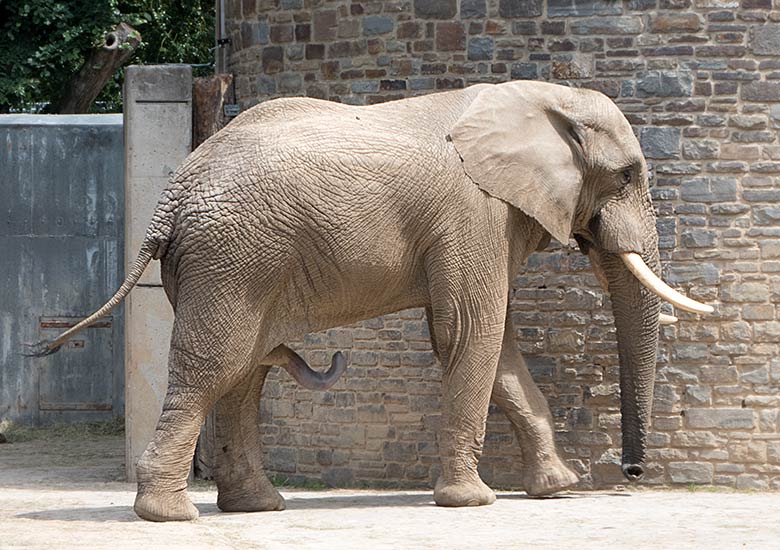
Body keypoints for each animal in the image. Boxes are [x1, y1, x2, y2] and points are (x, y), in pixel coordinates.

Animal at [32, 80, 712, 524]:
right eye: (627, 176)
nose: (631, 473)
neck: (536, 100)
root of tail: (169, 199)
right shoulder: (473, 214)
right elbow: (470, 333)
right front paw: (473, 501)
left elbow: (497, 345)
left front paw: (557, 489)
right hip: (232, 258)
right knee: (213, 368)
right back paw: (169, 515)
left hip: (230, 263)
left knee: (244, 373)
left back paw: (257, 507)